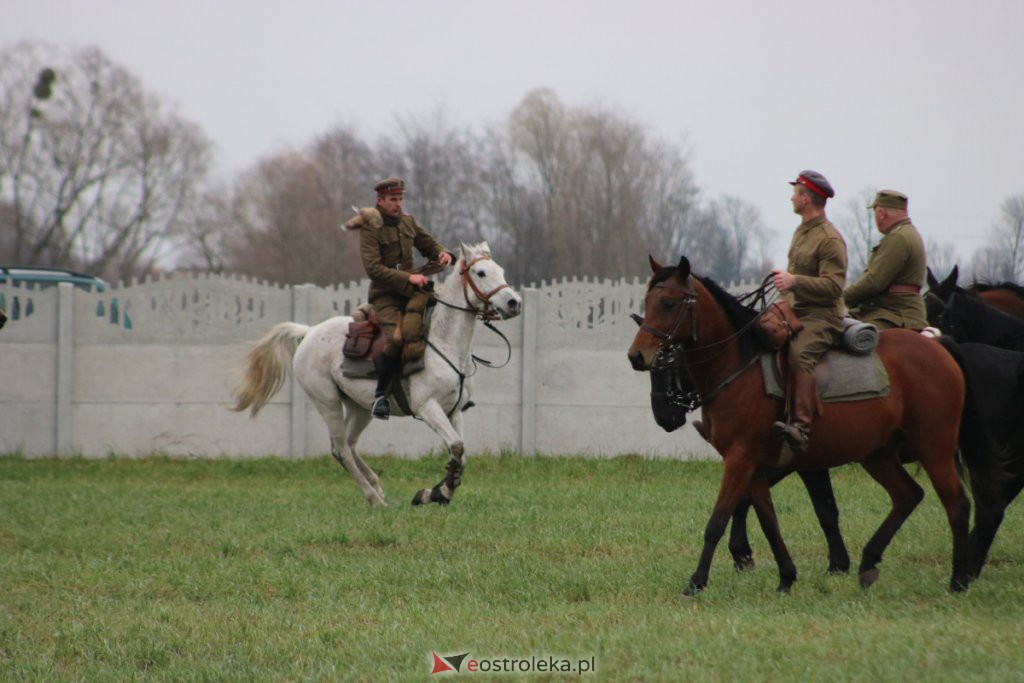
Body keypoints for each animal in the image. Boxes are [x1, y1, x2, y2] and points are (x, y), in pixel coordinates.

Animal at [232, 242, 520, 505]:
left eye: (501, 271)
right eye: (481, 273)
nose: (513, 302)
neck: (443, 341)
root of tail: (310, 331)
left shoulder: (454, 411)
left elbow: (459, 453)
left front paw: (437, 492)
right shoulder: (428, 407)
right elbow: (457, 447)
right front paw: (437, 493)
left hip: (360, 407)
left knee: (349, 444)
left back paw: (377, 486)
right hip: (327, 403)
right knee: (341, 450)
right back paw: (374, 498)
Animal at [626, 254, 970, 593]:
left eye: (669, 303)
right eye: (648, 300)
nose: (637, 356)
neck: (739, 368)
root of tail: (938, 349)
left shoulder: (741, 460)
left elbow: (718, 521)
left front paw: (697, 582)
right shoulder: (756, 467)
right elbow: (769, 521)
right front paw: (786, 577)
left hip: (934, 449)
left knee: (957, 504)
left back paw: (959, 579)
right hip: (877, 454)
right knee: (908, 496)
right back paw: (870, 562)